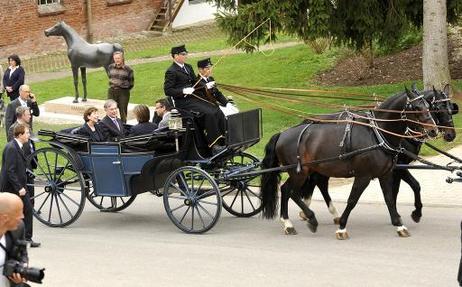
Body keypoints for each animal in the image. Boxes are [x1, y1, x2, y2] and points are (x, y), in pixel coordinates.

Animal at [262, 89, 438, 240]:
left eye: (428, 106)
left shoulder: (386, 174)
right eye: (416, 107)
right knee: (290, 191)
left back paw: (289, 223)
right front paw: (342, 228)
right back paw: (309, 219)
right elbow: (352, 200)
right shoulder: (363, 176)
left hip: (308, 170)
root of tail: (282, 134)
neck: (377, 134)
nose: (433, 130)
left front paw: (399, 225)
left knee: (288, 190)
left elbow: (389, 198)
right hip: (299, 172)